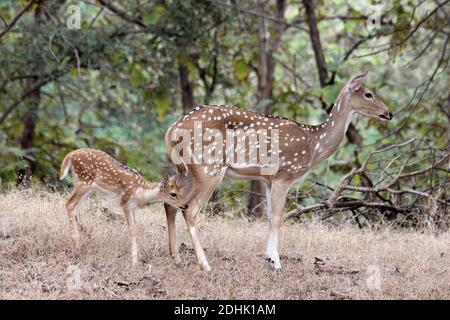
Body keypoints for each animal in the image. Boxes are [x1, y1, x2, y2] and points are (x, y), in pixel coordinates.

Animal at [164, 72, 390, 270]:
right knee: (190, 210)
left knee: (171, 203)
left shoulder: (268, 179)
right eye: (369, 94)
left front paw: (269, 258)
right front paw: (277, 264)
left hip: (186, 169)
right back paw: (205, 265)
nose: (389, 113)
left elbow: (269, 215)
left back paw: (176, 257)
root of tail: (171, 130)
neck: (313, 144)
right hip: (209, 168)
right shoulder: (285, 174)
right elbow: (277, 216)